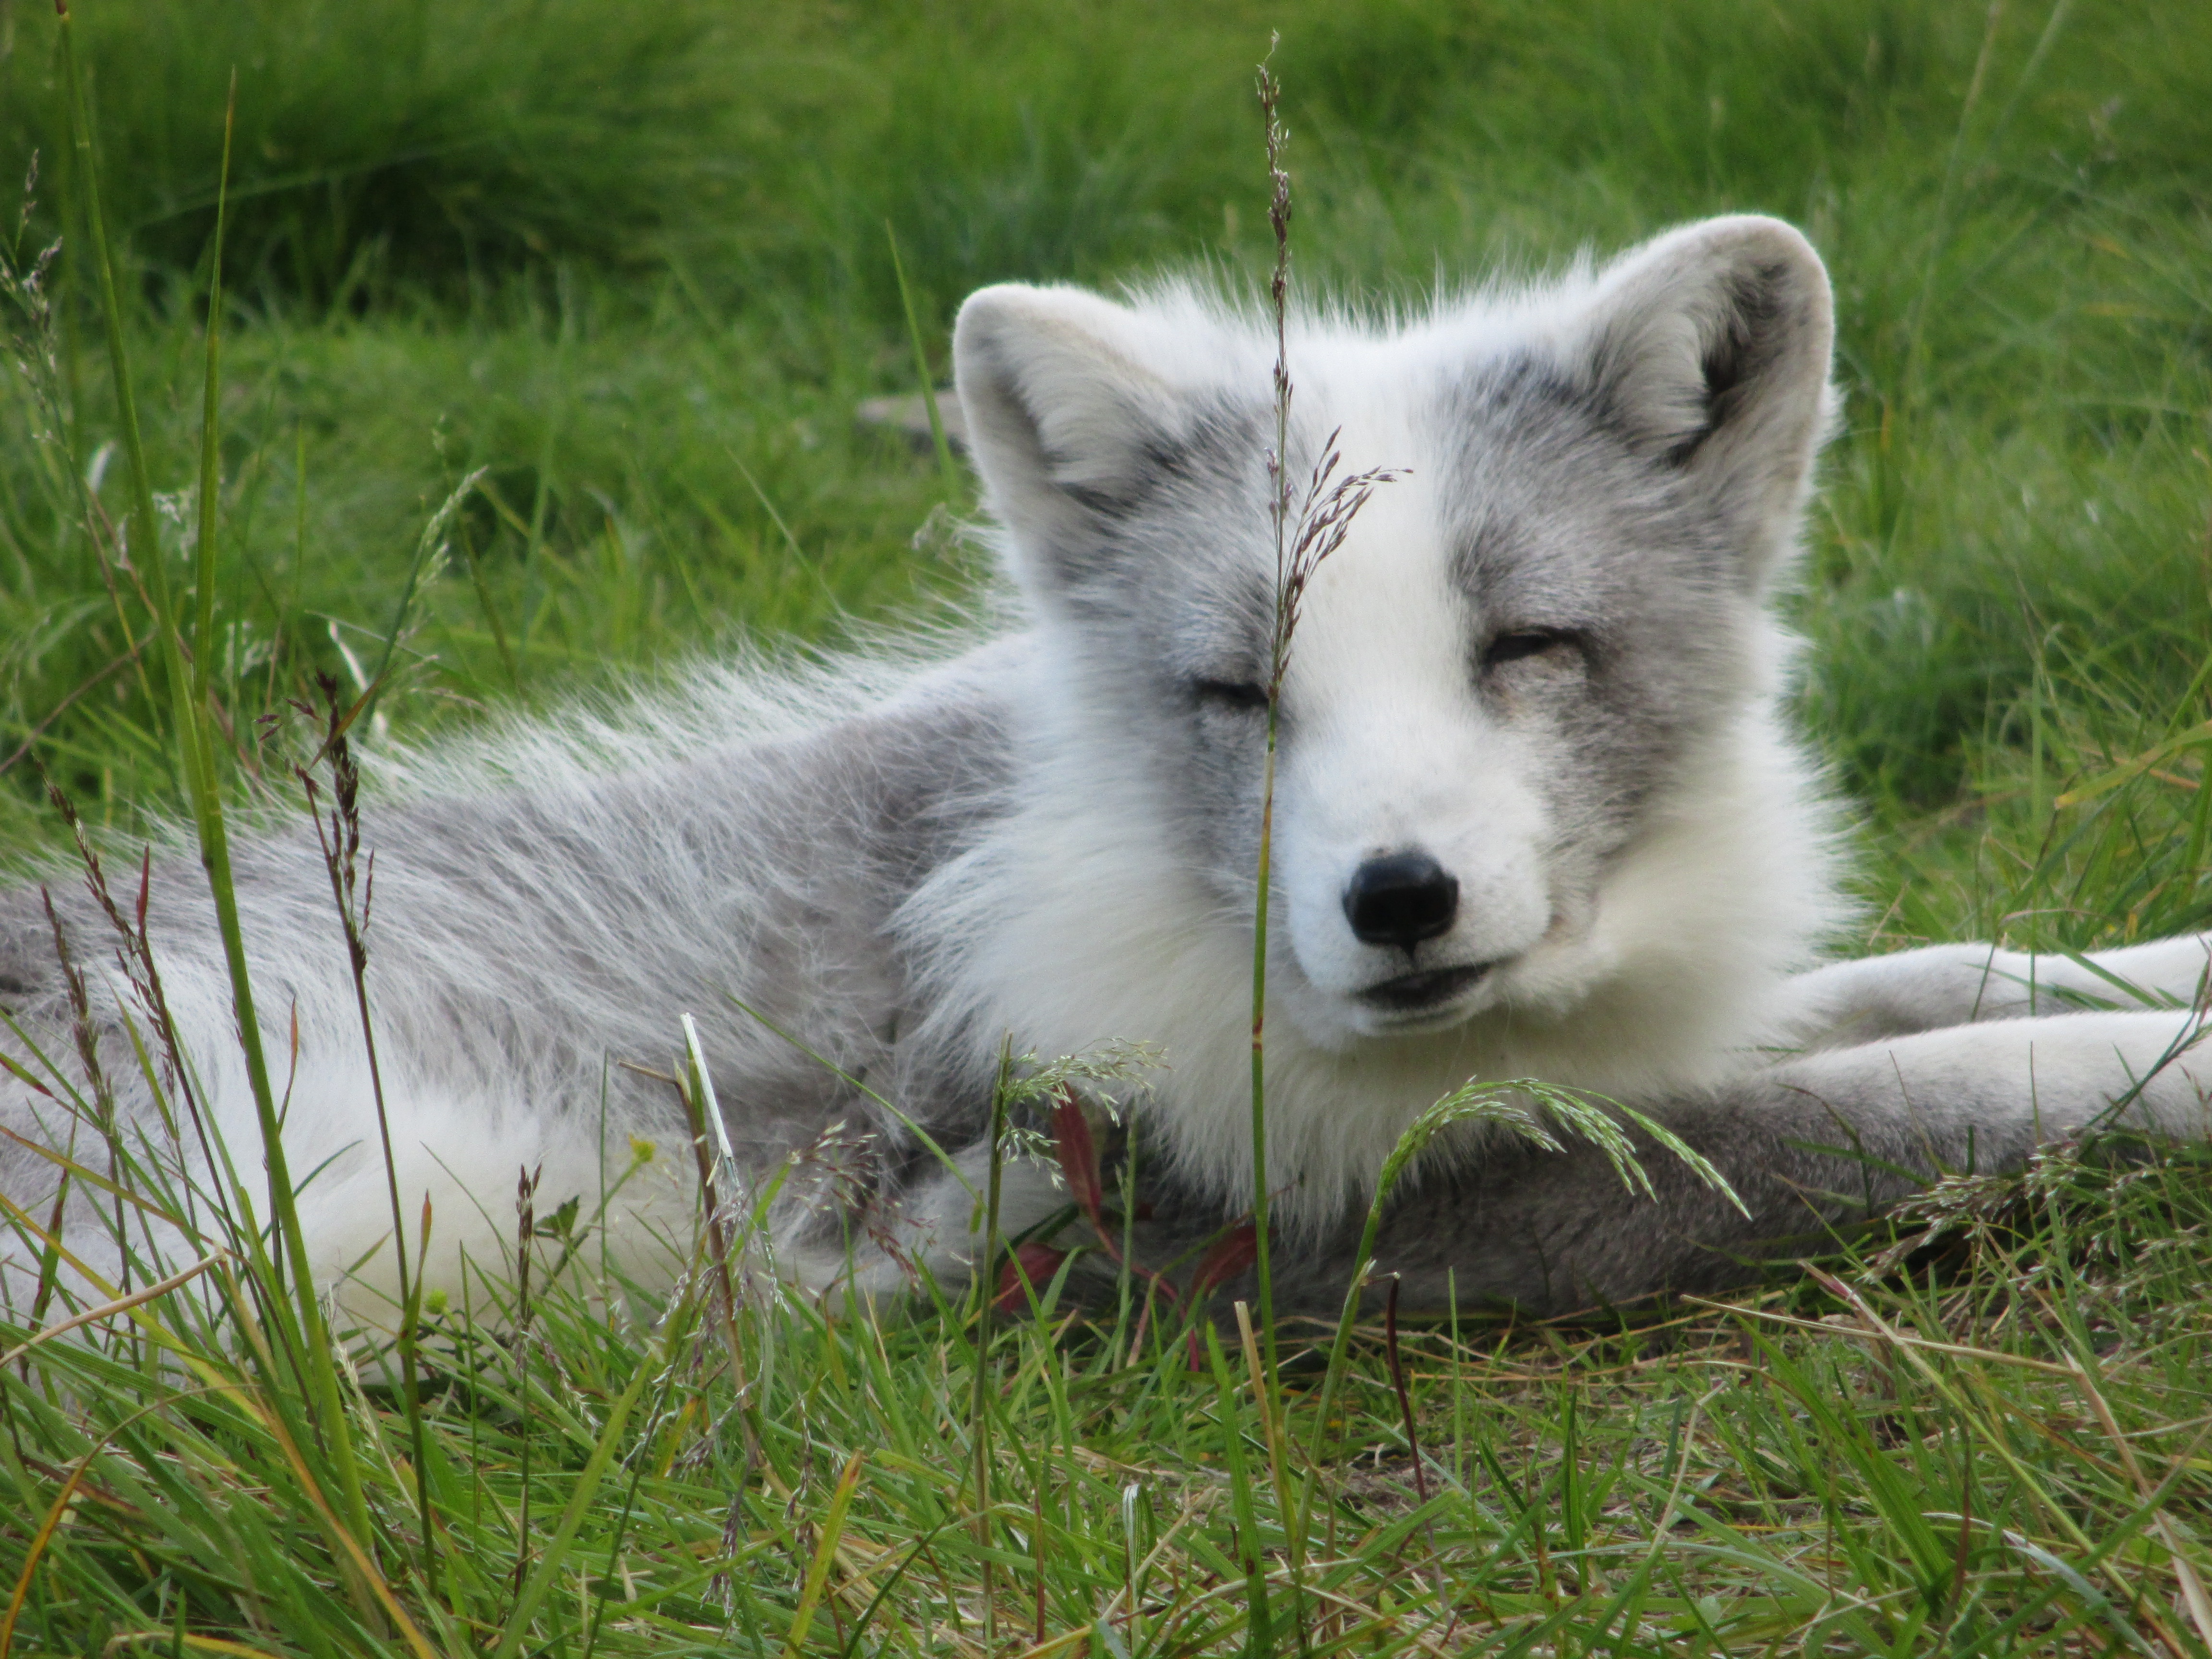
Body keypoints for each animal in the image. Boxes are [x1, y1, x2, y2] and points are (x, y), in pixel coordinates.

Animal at [4, 217, 2212, 1327]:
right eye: (1238, 691)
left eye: (1527, 649)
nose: (1396, 903)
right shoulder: (1384, 1209)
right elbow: (1928, 1096)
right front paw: (2153, 1066)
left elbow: (1950, 976)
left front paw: (2162, 965)